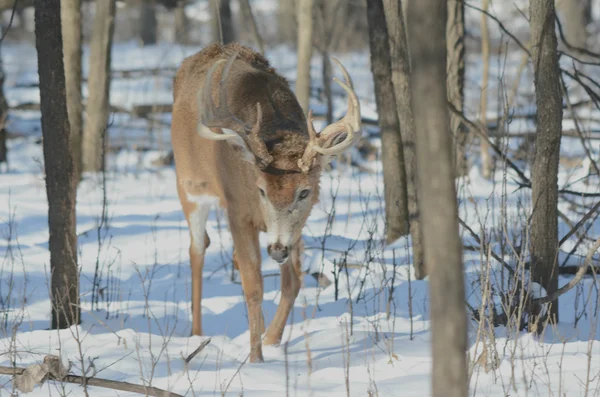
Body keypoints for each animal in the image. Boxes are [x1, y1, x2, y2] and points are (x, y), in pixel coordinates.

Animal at [171, 41, 360, 360]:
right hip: (188, 184)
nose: (277, 249)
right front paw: (255, 358)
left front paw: (271, 339)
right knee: (197, 249)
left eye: (305, 192)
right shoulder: (236, 210)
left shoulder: (294, 228)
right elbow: (253, 286)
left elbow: (292, 281)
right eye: (261, 190)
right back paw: (197, 333)